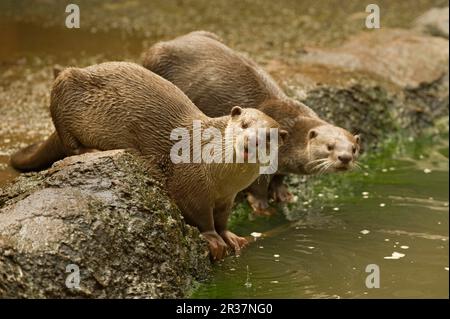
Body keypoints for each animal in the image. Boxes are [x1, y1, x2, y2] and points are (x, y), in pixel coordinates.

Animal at [9, 61, 284, 262]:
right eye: (244, 124)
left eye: (269, 136)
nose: (251, 141)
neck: (220, 177)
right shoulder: (190, 184)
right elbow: (200, 216)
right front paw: (213, 239)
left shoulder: (227, 198)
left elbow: (222, 219)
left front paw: (230, 236)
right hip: (62, 91)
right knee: (67, 141)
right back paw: (89, 149)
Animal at [144, 31, 362, 216]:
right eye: (329, 146)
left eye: (354, 148)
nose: (344, 158)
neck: (291, 130)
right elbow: (258, 186)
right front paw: (262, 206)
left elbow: (279, 177)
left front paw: (284, 194)